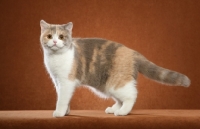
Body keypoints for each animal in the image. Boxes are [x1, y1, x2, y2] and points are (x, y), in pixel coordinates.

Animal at [39, 19, 191, 117]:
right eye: (49, 36)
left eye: (61, 36)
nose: (54, 41)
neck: (55, 58)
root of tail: (132, 51)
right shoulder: (57, 82)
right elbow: (63, 98)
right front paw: (66, 112)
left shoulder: (67, 82)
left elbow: (62, 99)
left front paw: (59, 113)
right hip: (108, 84)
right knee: (120, 99)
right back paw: (114, 109)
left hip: (117, 83)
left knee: (131, 95)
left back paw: (122, 112)